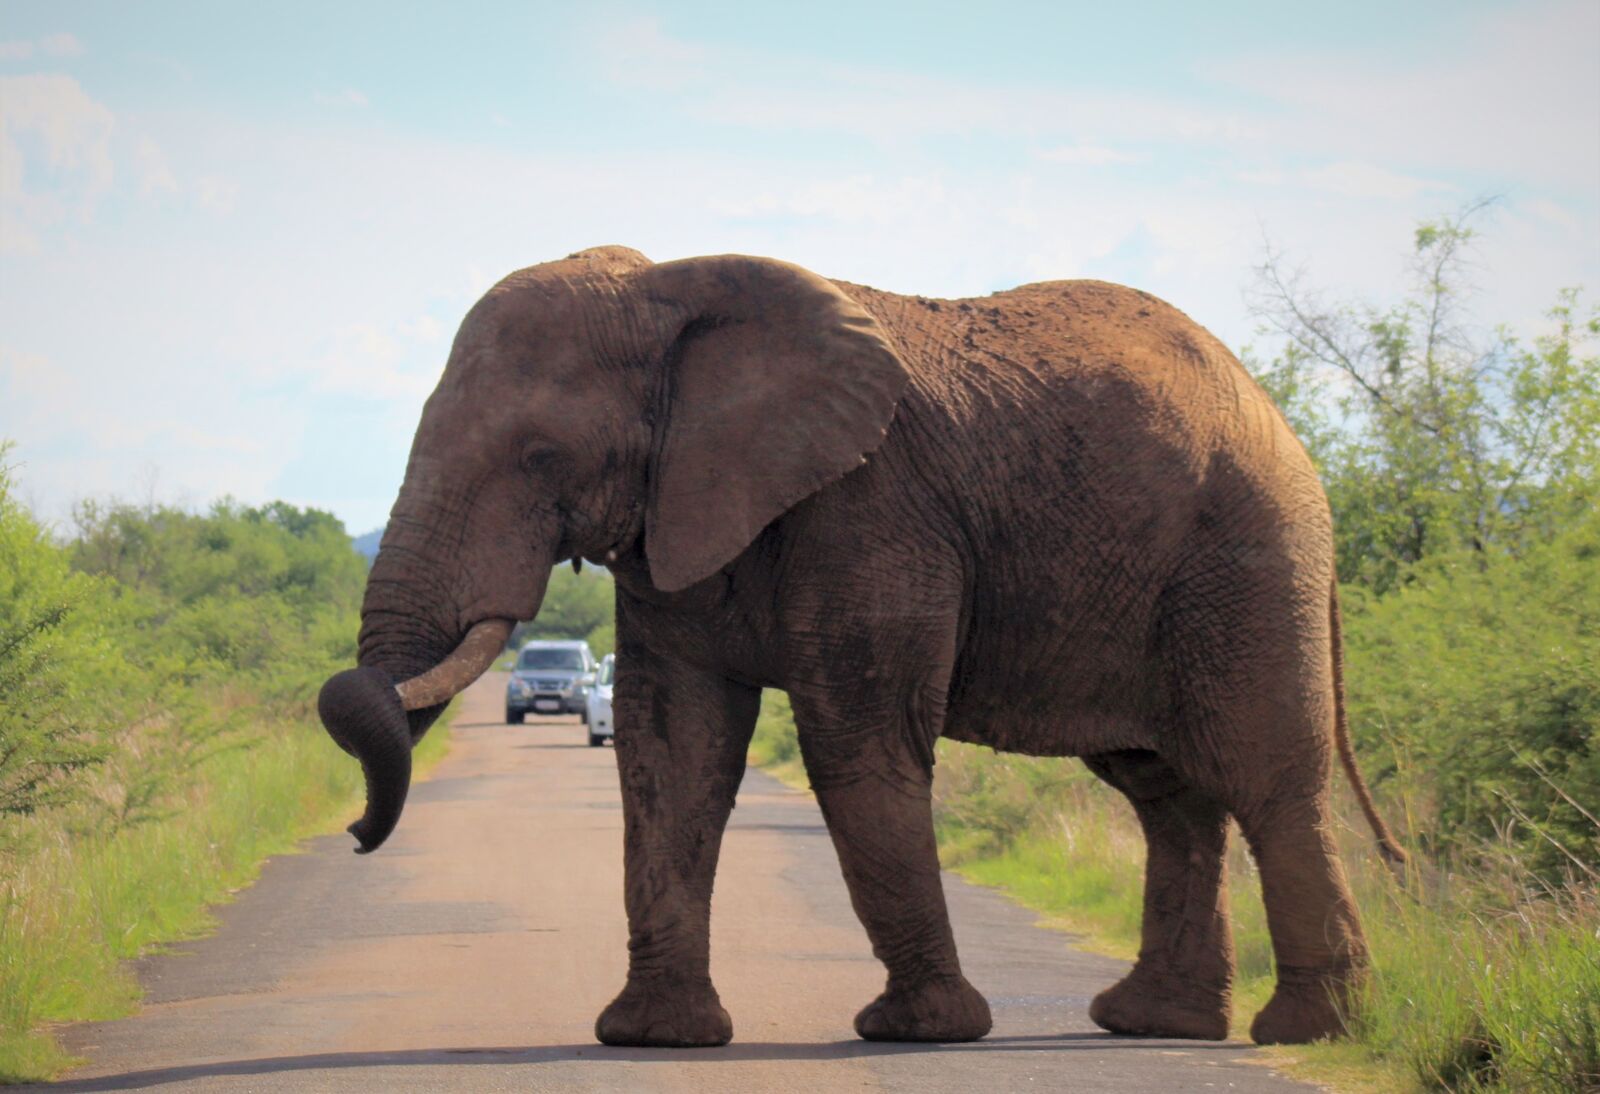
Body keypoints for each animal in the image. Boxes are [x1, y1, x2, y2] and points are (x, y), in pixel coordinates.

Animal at [317, 244, 1406, 1050]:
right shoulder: (678, 516)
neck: (670, 286)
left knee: (1267, 779)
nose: (357, 836)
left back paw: (1306, 1032)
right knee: (1165, 792)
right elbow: (672, 750)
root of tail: (1280, 421)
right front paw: (652, 1038)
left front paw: (918, 1031)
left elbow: (856, 745)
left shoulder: (873, 508)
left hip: (1246, 562)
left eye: (541, 455)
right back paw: (1155, 1024)